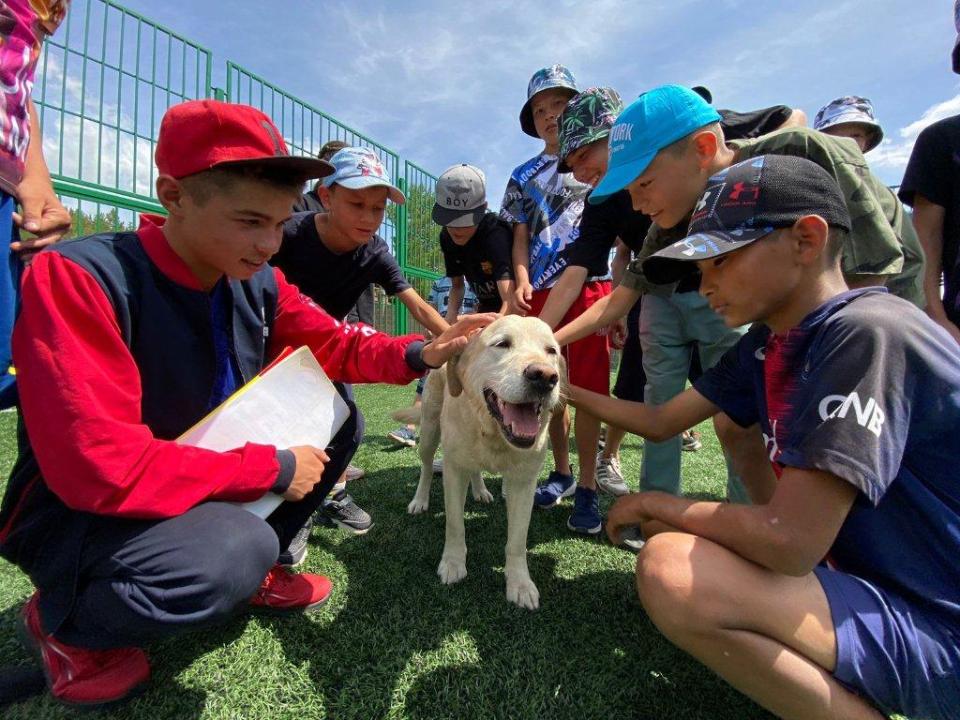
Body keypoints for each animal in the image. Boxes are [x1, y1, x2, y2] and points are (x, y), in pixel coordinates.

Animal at [396, 316, 568, 608]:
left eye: (551, 351)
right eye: (502, 344)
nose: (545, 377)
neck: (493, 433)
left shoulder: (524, 483)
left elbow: (517, 541)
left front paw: (520, 584)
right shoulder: (454, 470)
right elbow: (455, 524)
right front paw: (453, 564)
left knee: (475, 469)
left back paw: (480, 491)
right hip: (430, 430)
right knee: (427, 466)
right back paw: (420, 500)